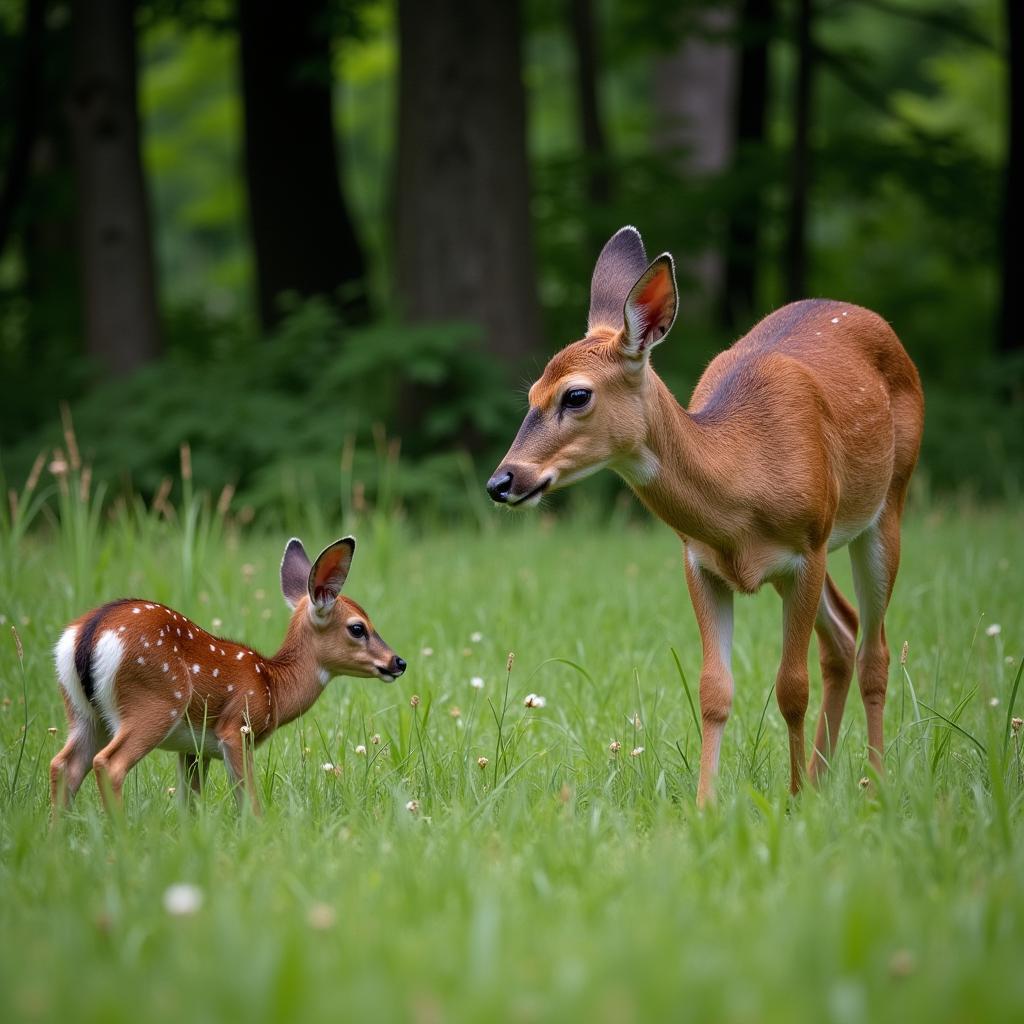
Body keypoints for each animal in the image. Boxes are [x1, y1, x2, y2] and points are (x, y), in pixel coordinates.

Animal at [49, 536, 405, 815]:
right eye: (358, 628)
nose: (398, 662)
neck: (273, 685)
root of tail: (90, 632)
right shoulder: (236, 727)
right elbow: (248, 801)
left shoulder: (193, 749)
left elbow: (190, 805)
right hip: (155, 701)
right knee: (109, 764)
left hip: (84, 713)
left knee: (63, 765)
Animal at [483, 228, 925, 802]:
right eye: (532, 394)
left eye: (575, 395)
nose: (501, 482)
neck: (743, 482)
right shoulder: (700, 561)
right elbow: (714, 689)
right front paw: (707, 804)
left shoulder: (806, 550)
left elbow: (791, 687)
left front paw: (793, 800)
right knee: (844, 637)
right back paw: (823, 777)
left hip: (885, 505)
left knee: (875, 651)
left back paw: (875, 783)